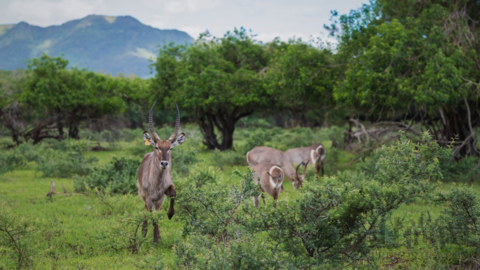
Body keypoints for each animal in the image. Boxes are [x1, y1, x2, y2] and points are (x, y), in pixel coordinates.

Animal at [138, 100, 187, 244]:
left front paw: (170, 214)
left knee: (156, 212)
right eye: (157, 147)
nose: (164, 163)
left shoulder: (162, 195)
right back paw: (144, 232)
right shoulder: (149, 198)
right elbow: (153, 216)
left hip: (158, 201)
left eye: (170, 148)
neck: (157, 183)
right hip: (144, 197)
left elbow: (173, 193)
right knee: (147, 211)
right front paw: (154, 240)